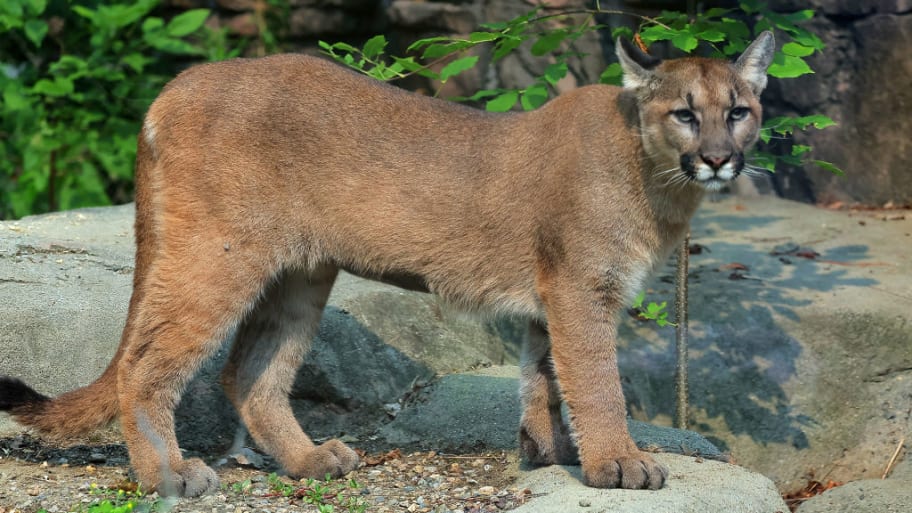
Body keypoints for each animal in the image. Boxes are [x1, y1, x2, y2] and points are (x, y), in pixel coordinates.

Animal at [0, 31, 772, 492]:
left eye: (738, 111)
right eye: (684, 113)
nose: (718, 158)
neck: (653, 172)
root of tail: (178, 83)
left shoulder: (554, 296)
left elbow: (544, 375)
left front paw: (547, 449)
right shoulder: (583, 289)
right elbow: (598, 381)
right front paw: (619, 461)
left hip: (299, 272)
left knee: (248, 372)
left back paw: (311, 460)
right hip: (218, 254)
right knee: (145, 361)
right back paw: (169, 475)